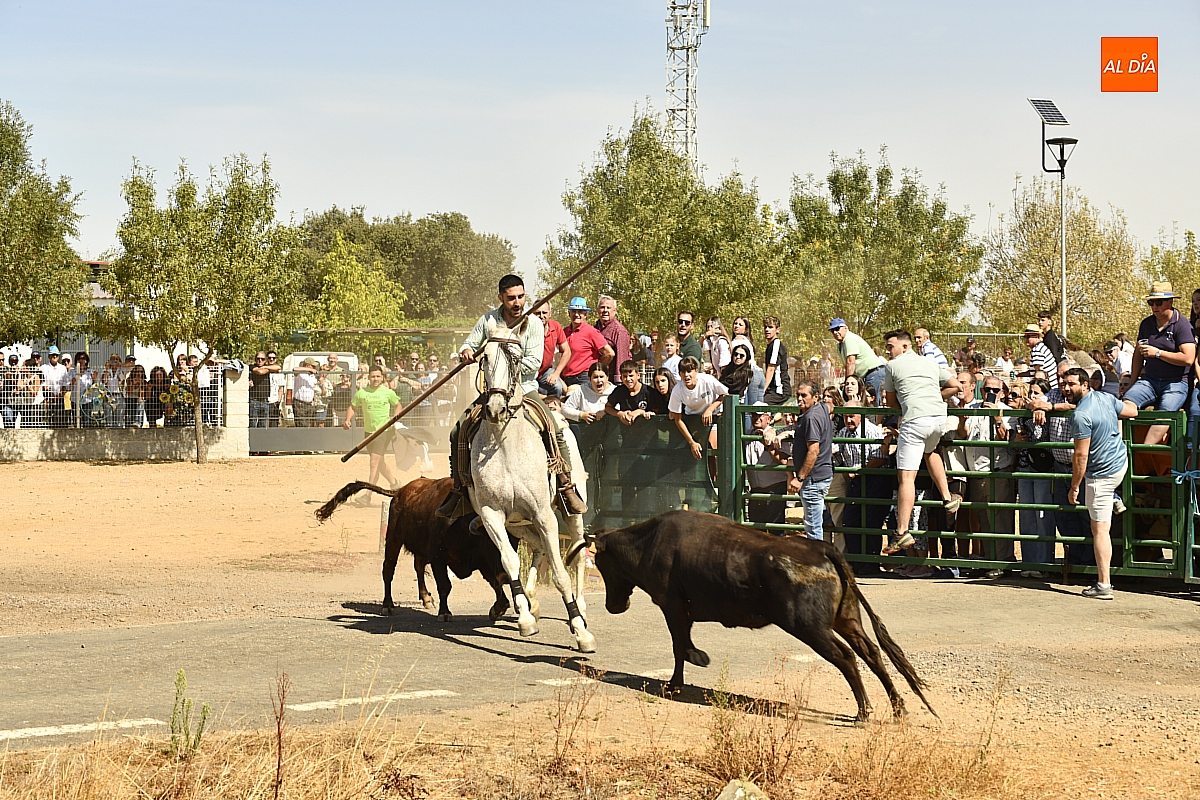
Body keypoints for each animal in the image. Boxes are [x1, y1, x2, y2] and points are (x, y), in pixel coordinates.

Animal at [468, 317, 595, 653]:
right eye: (484, 358)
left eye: (515, 358)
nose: (495, 408)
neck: (505, 445)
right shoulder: (492, 515)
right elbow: (510, 561)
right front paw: (525, 617)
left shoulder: (544, 513)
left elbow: (561, 574)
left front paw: (581, 632)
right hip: (518, 523)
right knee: (537, 547)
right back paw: (530, 601)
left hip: (569, 513)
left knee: (577, 553)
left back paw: (580, 605)